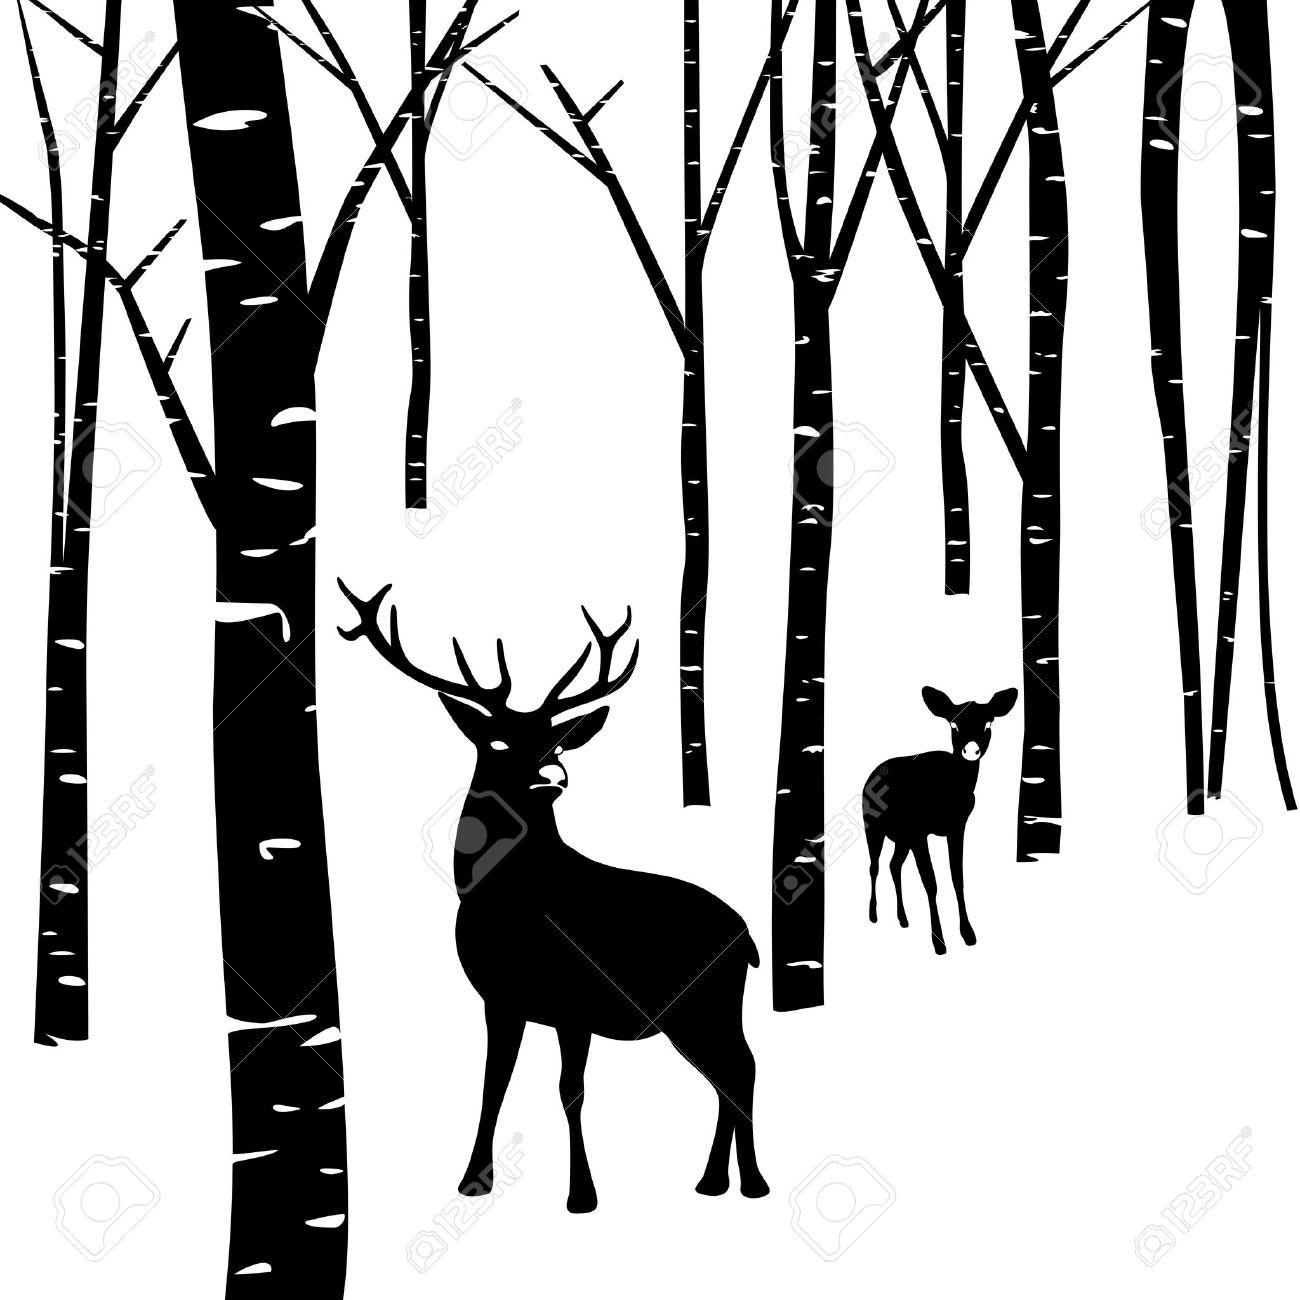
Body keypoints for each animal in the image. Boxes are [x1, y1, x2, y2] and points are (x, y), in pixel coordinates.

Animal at [337, 580, 768, 1212]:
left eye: (559, 741)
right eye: (497, 740)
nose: (552, 776)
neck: (508, 900)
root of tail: (749, 938)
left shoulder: (575, 1000)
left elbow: (570, 1090)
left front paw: (582, 1195)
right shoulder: (500, 998)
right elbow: (492, 1083)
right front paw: (472, 1181)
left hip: (707, 1000)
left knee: (741, 1068)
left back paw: (751, 1183)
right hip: (694, 1011)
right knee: (727, 1073)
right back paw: (713, 1182)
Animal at [863, 686, 1018, 956]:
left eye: (988, 723)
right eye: (953, 724)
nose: (971, 751)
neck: (950, 790)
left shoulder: (957, 828)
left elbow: (958, 877)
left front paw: (968, 933)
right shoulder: (919, 832)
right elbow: (930, 882)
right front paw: (939, 942)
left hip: (902, 838)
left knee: (894, 865)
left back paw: (903, 918)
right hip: (873, 829)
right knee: (875, 867)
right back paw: (873, 915)